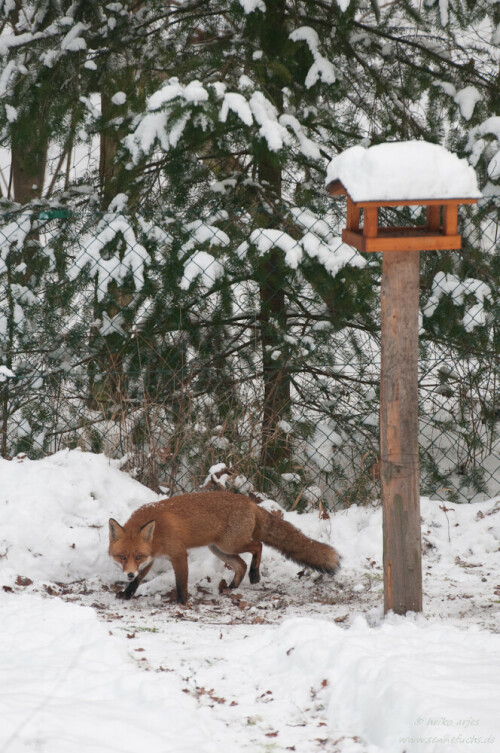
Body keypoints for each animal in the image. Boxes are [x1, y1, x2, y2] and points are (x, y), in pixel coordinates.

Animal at [109, 488, 340, 604]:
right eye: (123, 557)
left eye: (137, 556)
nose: (128, 573)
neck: (157, 533)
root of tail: (250, 502)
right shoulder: (152, 557)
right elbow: (138, 580)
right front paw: (127, 593)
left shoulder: (178, 554)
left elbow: (181, 582)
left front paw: (182, 602)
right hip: (219, 549)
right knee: (241, 565)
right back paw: (231, 587)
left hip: (230, 544)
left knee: (257, 546)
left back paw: (255, 575)